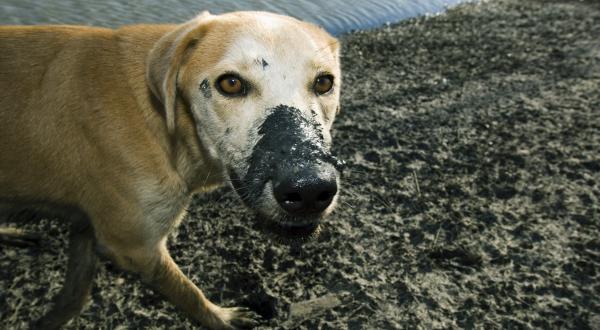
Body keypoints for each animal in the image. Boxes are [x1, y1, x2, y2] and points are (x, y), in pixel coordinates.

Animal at [0, 10, 342, 330]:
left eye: (325, 82)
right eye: (231, 83)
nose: (309, 190)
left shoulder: (85, 229)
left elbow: (73, 297)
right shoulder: (136, 249)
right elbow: (188, 292)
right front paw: (220, 317)